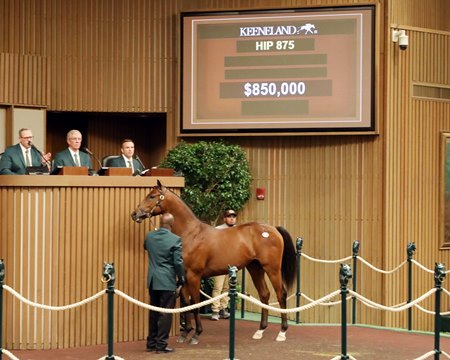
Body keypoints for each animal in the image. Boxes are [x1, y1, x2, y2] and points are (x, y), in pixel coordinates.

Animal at [131, 180, 298, 344]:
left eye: (152, 196)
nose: (135, 214)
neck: (191, 234)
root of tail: (272, 229)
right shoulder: (183, 276)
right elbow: (186, 303)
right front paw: (185, 333)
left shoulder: (194, 276)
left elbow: (195, 304)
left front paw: (196, 334)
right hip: (255, 268)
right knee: (264, 294)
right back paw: (260, 330)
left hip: (272, 269)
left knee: (281, 294)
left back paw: (282, 332)